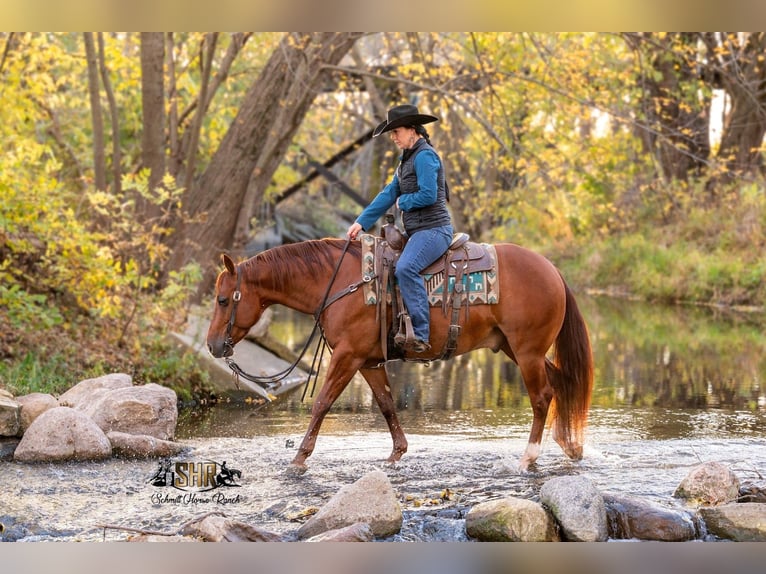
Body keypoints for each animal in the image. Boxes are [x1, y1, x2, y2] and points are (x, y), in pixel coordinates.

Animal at [206, 238, 594, 473]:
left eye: (223, 299)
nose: (212, 345)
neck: (341, 283)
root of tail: (552, 270)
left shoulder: (346, 357)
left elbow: (322, 403)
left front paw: (299, 458)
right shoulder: (367, 362)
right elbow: (387, 403)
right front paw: (396, 453)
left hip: (527, 352)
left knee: (542, 397)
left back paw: (529, 456)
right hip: (517, 349)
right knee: (560, 383)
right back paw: (569, 445)